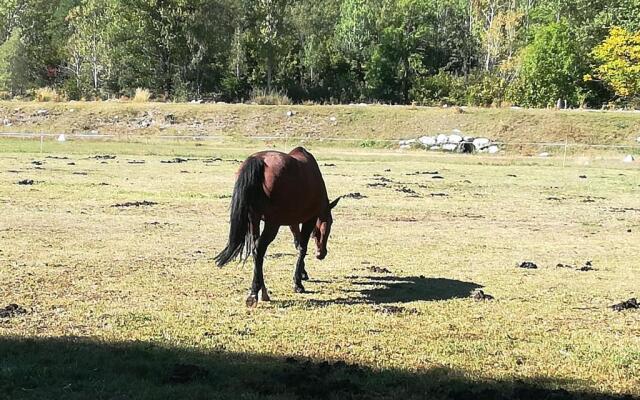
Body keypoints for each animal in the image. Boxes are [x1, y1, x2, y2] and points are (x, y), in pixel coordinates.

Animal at [215, 147, 340, 306]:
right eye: (330, 223)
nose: (321, 253)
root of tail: (258, 160)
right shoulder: (309, 219)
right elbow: (302, 247)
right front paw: (298, 283)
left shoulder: (293, 222)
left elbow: (297, 244)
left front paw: (302, 273)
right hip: (272, 224)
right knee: (259, 249)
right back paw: (254, 293)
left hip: (253, 220)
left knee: (256, 251)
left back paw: (262, 291)